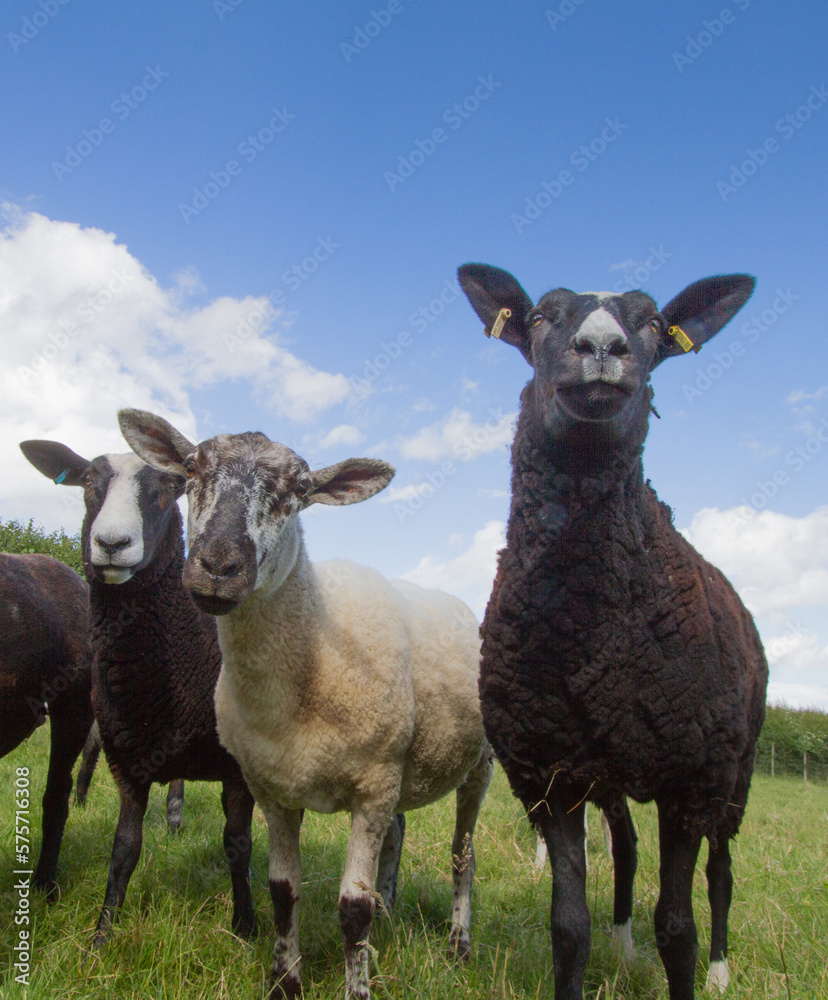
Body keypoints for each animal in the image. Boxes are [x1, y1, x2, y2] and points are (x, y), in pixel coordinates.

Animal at [19, 440, 257, 947]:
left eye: (167, 490)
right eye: (88, 483)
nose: (111, 544)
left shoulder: (236, 769)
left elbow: (238, 844)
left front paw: (246, 928)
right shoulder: (128, 760)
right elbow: (124, 848)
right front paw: (101, 937)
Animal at [118, 408, 495, 1000]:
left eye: (300, 489)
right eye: (191, 467)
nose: (217, 565)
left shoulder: (372, 787)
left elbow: (352, 907)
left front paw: (357, 987)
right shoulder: (273, 789)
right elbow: (281, 891)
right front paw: (285, 980)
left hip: (476, 763)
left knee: (464, 855)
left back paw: (459, 944)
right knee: (399, 831)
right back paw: (392, 915)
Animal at [457, 265, 769, 1000]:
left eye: (654, 324)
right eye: (541, 316)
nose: (603, 348)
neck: (590, 623)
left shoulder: (689, 780)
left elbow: (676, 929)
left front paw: (686, 962)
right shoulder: (552, 776)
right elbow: (568, 927)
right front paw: (595, 947)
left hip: (733, 770)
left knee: (721, 871)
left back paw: (720, 969)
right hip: (612, 766)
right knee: (625, 846)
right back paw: (623, 943)